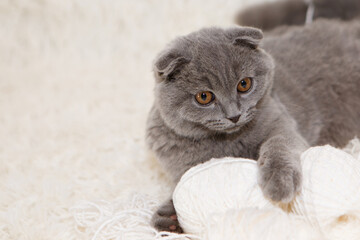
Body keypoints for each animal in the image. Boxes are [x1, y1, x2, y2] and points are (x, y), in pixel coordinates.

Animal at [146, 19, 360, 233]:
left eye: (244, 84)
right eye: (204, 96)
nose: (234, 115)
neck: (229, 141)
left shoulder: (281, 123)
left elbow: (279, 144)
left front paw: (279, 180)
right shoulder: (181, 165)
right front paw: (169, 216)